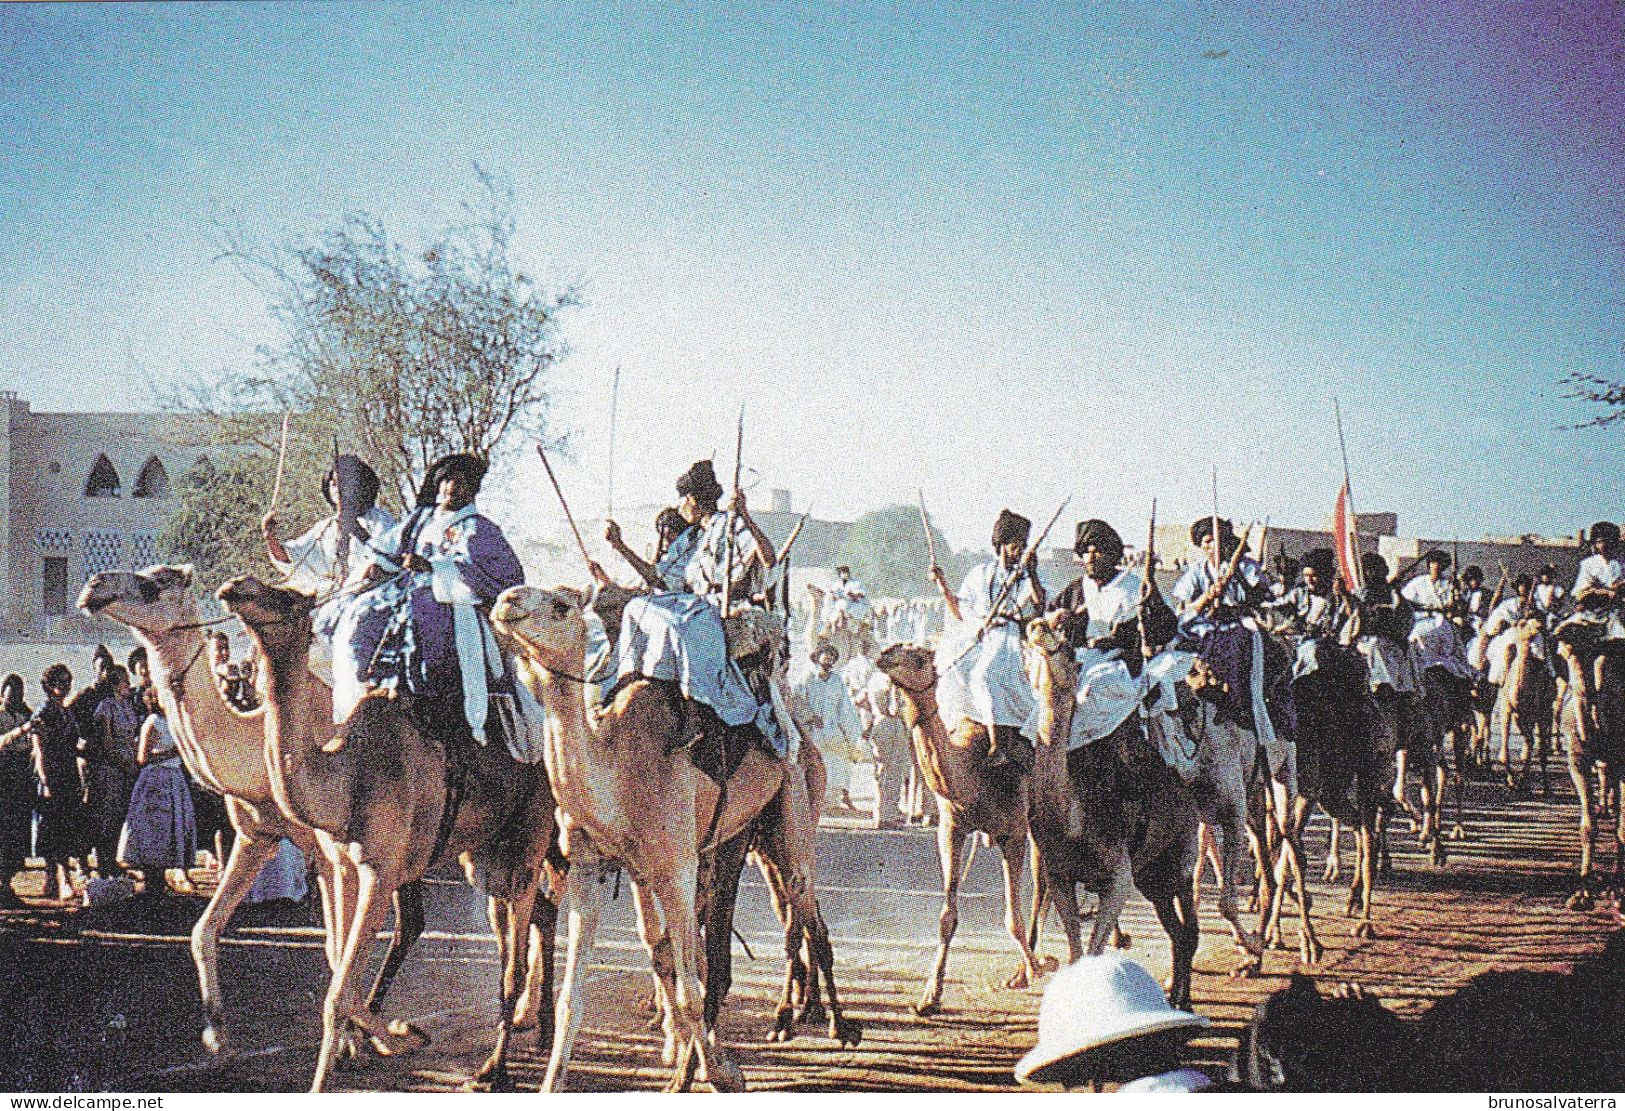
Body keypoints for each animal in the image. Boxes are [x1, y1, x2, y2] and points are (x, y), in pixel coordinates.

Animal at [74, 568, 432, 1065]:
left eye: (154, 585)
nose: (95, 586)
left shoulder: (328, 849)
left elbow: (335, 946)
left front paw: (354, 1040)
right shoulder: (253, 835)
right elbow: (203, 930)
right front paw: (216, 1034)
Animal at [216, 581, 562, 1091]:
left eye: (285, 597)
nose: (235, 588)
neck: (347, 775)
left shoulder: (380, 871)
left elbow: (339, 993)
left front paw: (366, 1053)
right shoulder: (342, 864)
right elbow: (340, 972)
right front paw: (390, 1036)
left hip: (527, 842)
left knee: (513, 962)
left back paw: (496, 1069)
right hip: (483, 855)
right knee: (540, 915)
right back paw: (540, 1033)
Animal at [487, 584, 858, 1091]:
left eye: (561, 606)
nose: (507, 600)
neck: (618, 767)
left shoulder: (677, 868)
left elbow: (688, 990)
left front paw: (713, 1072)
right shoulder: (591, 866)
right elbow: (574, 997)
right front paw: (551, 1084)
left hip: (795, 813)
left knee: (807, 915)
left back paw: (835, 1025)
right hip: (740, 838)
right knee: (759, 929)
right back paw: (787, 1019)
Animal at [871, 643, 1046, 1013]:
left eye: (918, 657)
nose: (885, 652)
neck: (973, 774)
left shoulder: (1013, 832)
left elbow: (1012, 915)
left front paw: (1034, 970)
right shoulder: (952, 830)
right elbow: (946, 918)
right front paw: (929, 997)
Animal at [1020, 623, 1202, 1007]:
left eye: (1069, 651)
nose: (1039, 626)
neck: (1070, 819)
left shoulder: (1118, 878)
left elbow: (1093, 951)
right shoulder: (1060, 876)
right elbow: (1076, 952)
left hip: (1180, 855)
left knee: (1189, 929)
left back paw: (1184, 1000)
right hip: (1151, 878)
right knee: (1177, 932)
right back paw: (1174, 995)